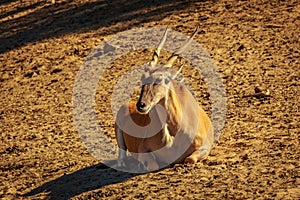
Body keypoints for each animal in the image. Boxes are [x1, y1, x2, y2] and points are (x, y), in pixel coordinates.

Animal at [113, 27, 214, 172]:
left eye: (163, 79)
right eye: (142, 78)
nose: (141, 105)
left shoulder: (205, 147)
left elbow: (189, 159)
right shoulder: (143, 149)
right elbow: (153, 165)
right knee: (121, 157)